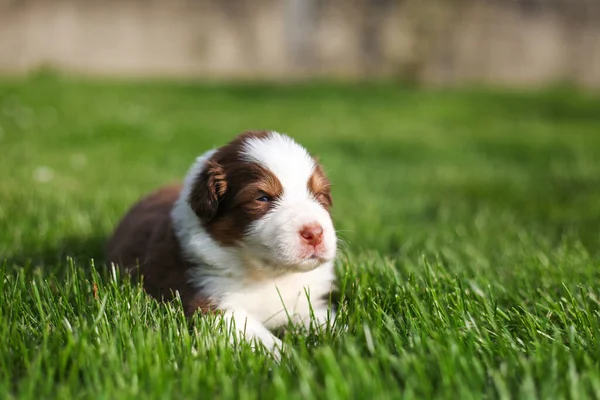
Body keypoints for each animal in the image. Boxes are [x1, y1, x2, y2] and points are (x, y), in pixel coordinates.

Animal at [106, 131, 338, 360]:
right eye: (262, 198)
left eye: (319, 195)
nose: (314, 233)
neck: (269, 275)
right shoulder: (213, 305)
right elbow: (261, 339)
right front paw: (292, 359)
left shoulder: (308, 302)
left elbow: (327, 323)